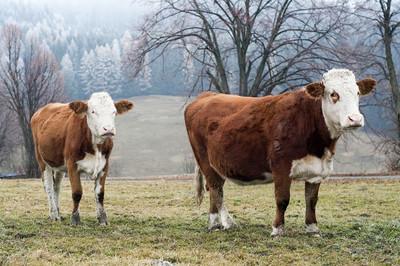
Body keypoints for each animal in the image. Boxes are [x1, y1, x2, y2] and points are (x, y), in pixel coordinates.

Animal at [31, 91, 134, 224]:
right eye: (93, 111)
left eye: (114, 111)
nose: (108, 129)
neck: (95, 146)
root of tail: (41, 110)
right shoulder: (72, 165)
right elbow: (77, 192)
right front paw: (75, 219)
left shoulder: (105, 165)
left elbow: (100, 193)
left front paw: (102, 219)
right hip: (42, 161)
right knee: (48, 186)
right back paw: (53, 215)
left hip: (59, 165)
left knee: (56, 187)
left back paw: (58, 214)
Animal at [186, 69, 376, 237]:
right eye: (333, 94)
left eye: (358, 93)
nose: (355, 119)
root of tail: (207, 96)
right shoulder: (281, 165)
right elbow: (282, 199)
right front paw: (277, 229)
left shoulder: (317, 170)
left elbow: (311, 200)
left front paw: (313, 228)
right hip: (204, 159)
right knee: (216, 189)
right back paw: (226, 222)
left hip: (217, 164)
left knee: (213, 189)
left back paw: (214, 223)